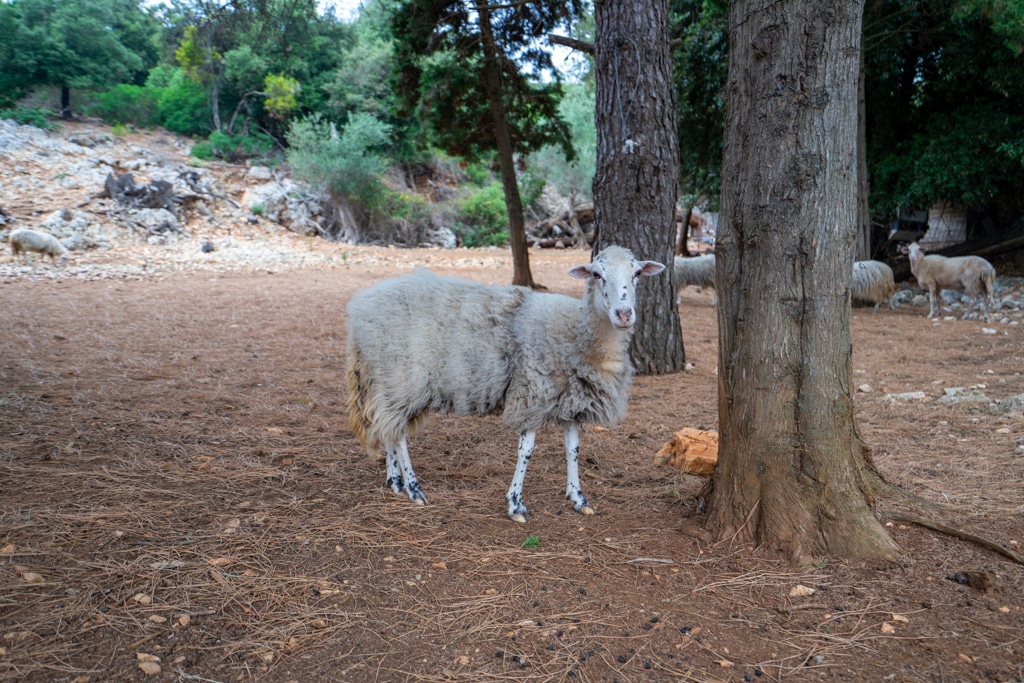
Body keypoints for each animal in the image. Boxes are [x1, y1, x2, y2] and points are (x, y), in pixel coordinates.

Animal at [344, 245, 663, 524]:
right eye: (597, 274)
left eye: (637, 273)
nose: (624, 314)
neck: (577, 331)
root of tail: (359, 309)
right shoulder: (532, 393)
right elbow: (527, 451)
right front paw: (516, 504)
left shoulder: (570, 400)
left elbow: (572, 449)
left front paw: (578, 498)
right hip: (403, 378)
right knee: (398, 435)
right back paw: (413, 489)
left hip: (389, 381)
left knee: (388, 427)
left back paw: (395, 481)